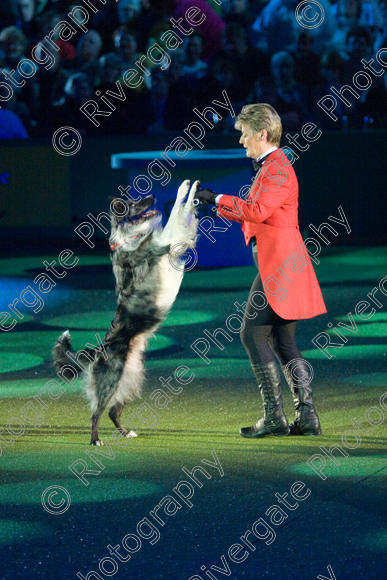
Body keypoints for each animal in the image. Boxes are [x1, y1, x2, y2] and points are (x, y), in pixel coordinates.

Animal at [52, 179, 200, 446]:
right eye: (134, 204)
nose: (152, 197)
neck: (128, 239)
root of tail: (98, 351)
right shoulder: (166, 243)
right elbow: (177, 213)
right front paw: (186, 188)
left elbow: (180, 214)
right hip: (111, 381)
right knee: (96, 413)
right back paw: (95, 440)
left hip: (131, 379)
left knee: (113, 411)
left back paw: (125, 432)